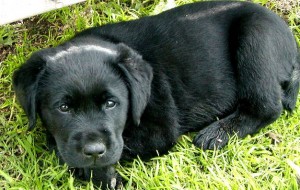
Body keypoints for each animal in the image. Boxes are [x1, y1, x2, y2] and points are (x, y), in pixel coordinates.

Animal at [12, 1, 298, 189]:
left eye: (111, 104)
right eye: (63, 108)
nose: (94, 151)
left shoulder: (159, 130)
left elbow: (117, 147)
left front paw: (101, 174)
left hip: (255, 38)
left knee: (266, 108)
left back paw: (217, 133)